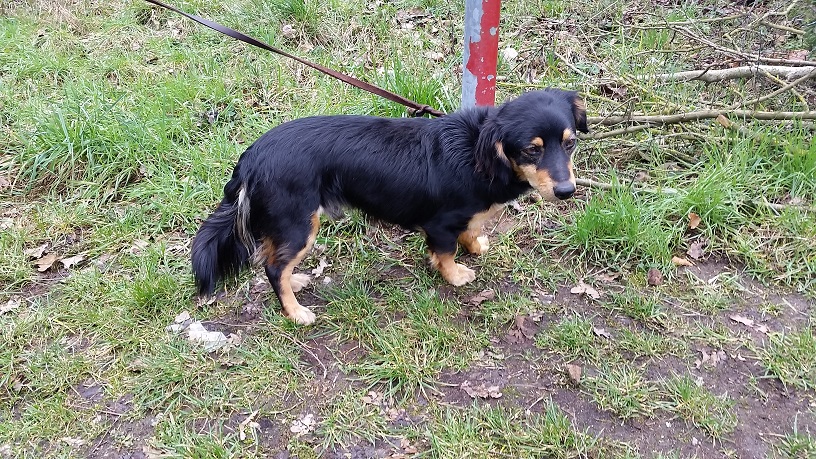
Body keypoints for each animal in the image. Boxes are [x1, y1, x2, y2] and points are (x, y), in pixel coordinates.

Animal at [192, 89, 588, 325]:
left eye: (569, 144)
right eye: (532, 150)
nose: (567, 191)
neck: (480, 152)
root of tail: (252, 158)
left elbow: (471, 230)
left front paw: (475, 245)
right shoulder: (440, 225)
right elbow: (445, 252)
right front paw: (455, 274)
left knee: (275, 260)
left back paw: (298, 280)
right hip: (300, 223)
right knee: (274, 268)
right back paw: (295, 312)